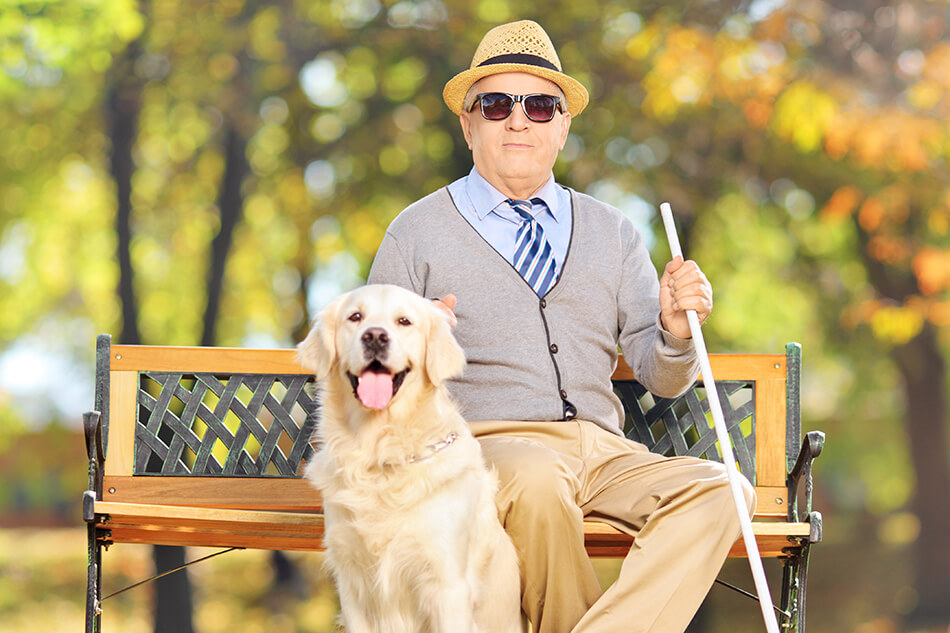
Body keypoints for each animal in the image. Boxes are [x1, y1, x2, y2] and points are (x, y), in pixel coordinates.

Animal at [298, 286, 520, 632]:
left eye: (404, 321)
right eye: (355, 317)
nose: (375, 336)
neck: (380, 458)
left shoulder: (447, 584)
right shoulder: (352, 584)